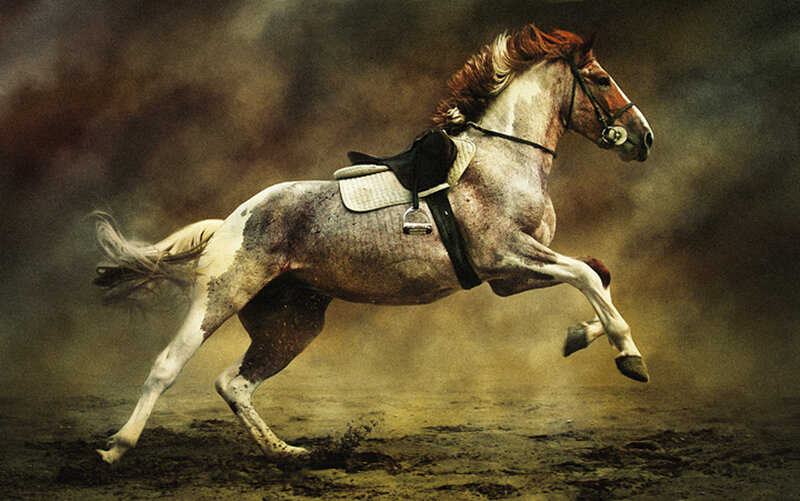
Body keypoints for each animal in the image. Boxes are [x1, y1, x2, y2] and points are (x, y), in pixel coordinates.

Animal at [92, 24, 653, 464]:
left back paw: (287, 453)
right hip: (222, 296)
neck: (501, 161)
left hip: (291, 323)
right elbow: (586, 274)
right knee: (167, 366)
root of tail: (230, 221)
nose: (644, 138)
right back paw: (117, 447)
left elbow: (598, 274)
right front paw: (630, 355)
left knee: (234, 382)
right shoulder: (505, 254)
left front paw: (578, 337)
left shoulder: (508, 277)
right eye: (601, 79)